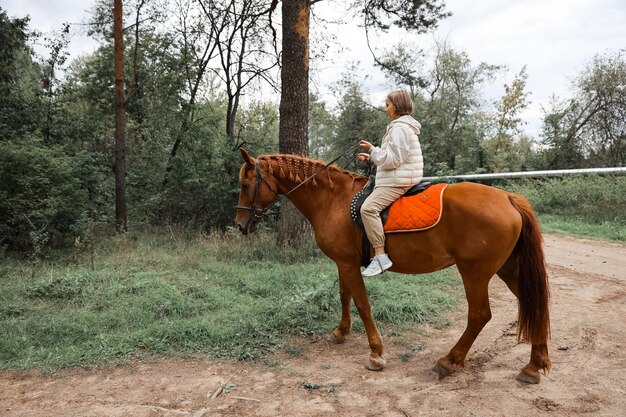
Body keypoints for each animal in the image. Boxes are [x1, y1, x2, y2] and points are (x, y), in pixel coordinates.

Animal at [235, 149, 552, 384]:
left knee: (479, 315)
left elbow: (362, 304)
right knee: (535, 305)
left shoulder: (348, 264)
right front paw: (341, 332)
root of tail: (508, 198)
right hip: (509, 269)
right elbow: (344, 296)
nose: (240, 225)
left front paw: (376, 353)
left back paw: (449, 360)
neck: (333, 200)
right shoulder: (344, 262)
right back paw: (534, 366)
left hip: (475, 273)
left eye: (245, 185)